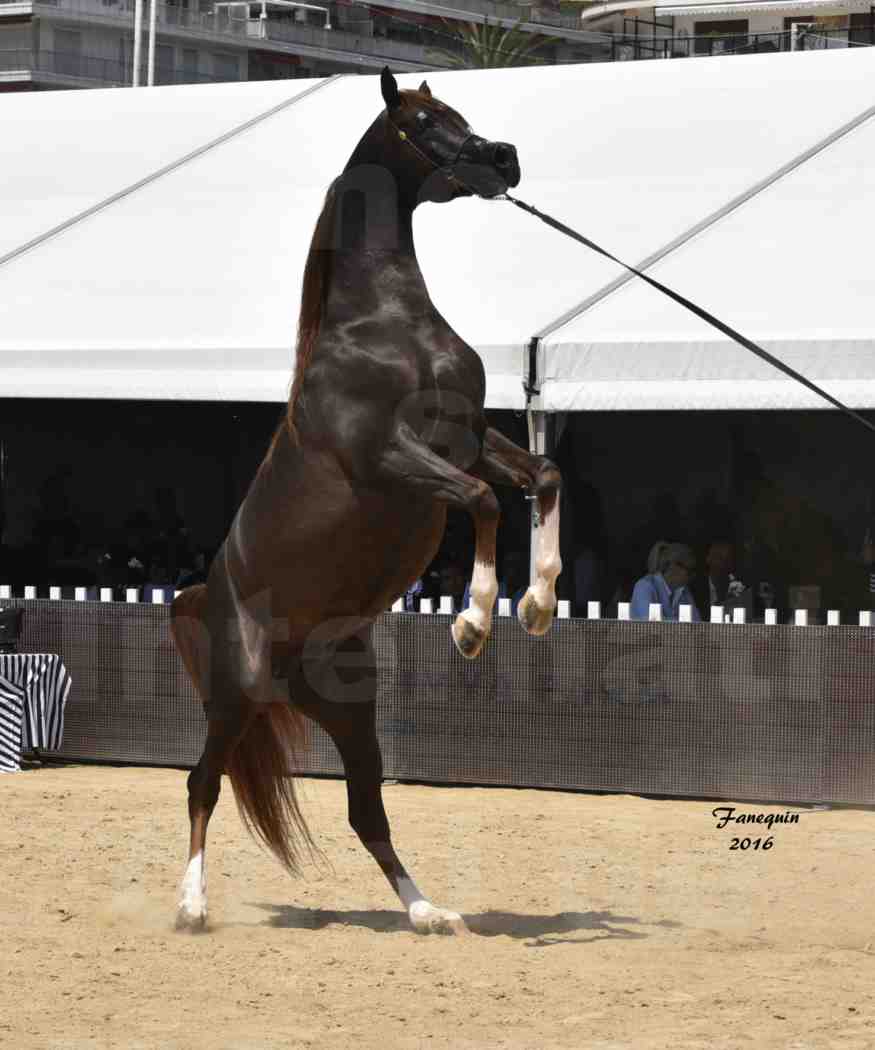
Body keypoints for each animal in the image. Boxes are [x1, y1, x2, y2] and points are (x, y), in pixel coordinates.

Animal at [172, 69, 558, 932]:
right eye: (422, 119)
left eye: (458, 112)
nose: (504, 157)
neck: (383, 324)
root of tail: (204, 593)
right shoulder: (392, 458)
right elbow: (484, 503)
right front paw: (473, 624)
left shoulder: (467, 435)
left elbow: (542, 477)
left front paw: (538, 605)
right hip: (237, 692)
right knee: (202, 781)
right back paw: (191, 907)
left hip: (347, 709)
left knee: (364, 808)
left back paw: (427, 913)